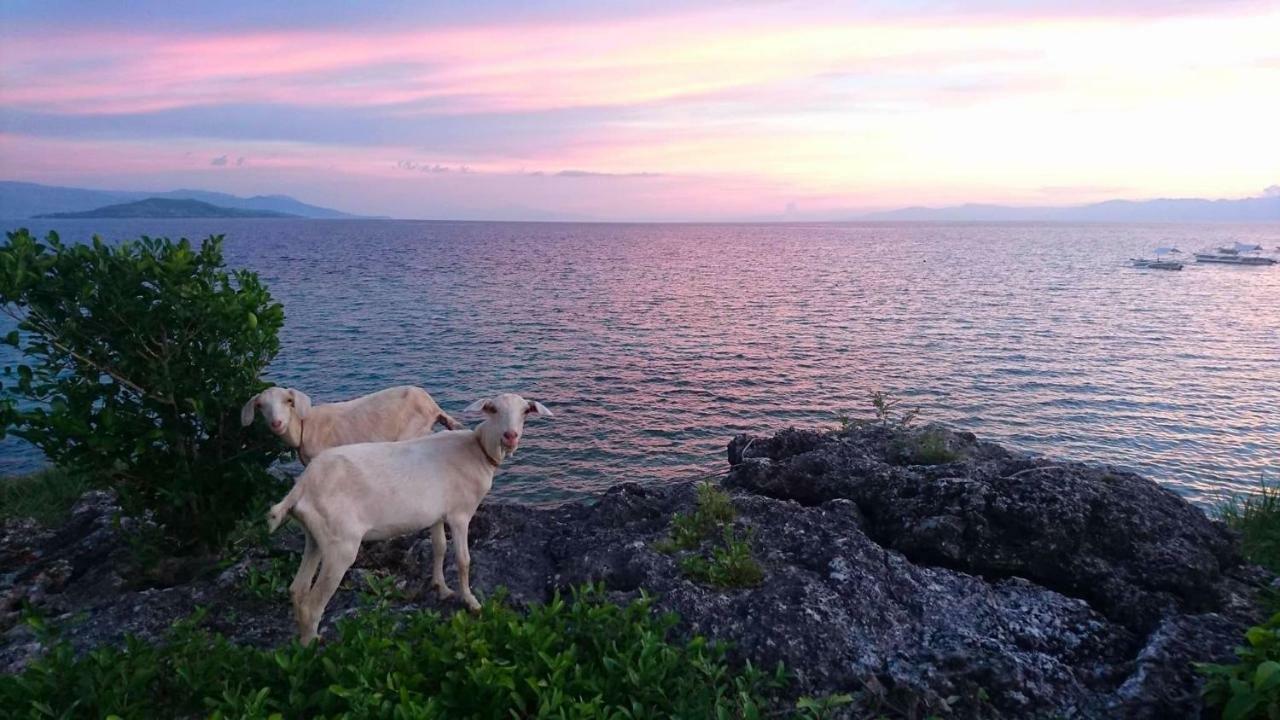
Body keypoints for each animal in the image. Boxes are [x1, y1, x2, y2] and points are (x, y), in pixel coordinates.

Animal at [264, 392, 550, 645]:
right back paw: (313, 646)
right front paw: (471, 602)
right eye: (492, 409)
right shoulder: (460, 513)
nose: (510, 436)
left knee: (297, 589)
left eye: (525, 411)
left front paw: (441, 588)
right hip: (340, 544)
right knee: (313, 603)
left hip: (315, 535)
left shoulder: (436, 513)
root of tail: (302, 487)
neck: (477, 450)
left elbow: (439, 548)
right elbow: (463, 560)